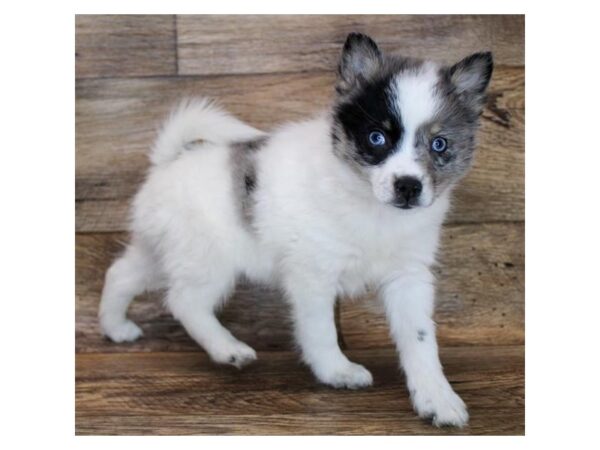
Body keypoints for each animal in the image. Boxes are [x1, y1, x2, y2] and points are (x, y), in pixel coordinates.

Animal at [98, 33, 492, 428]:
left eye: (439, 145)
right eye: (377, 138)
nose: (408, 186)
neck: (368, 203)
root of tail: (167, 164)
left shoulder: (408, 276)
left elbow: (420, 338)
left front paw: (437, 397)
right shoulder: (313, 275)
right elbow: (321, 330)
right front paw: (337, 371)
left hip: (164, 251)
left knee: (121, 274)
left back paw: (116, 328)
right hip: (207, 261)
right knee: (184, 302)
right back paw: (227, 349)